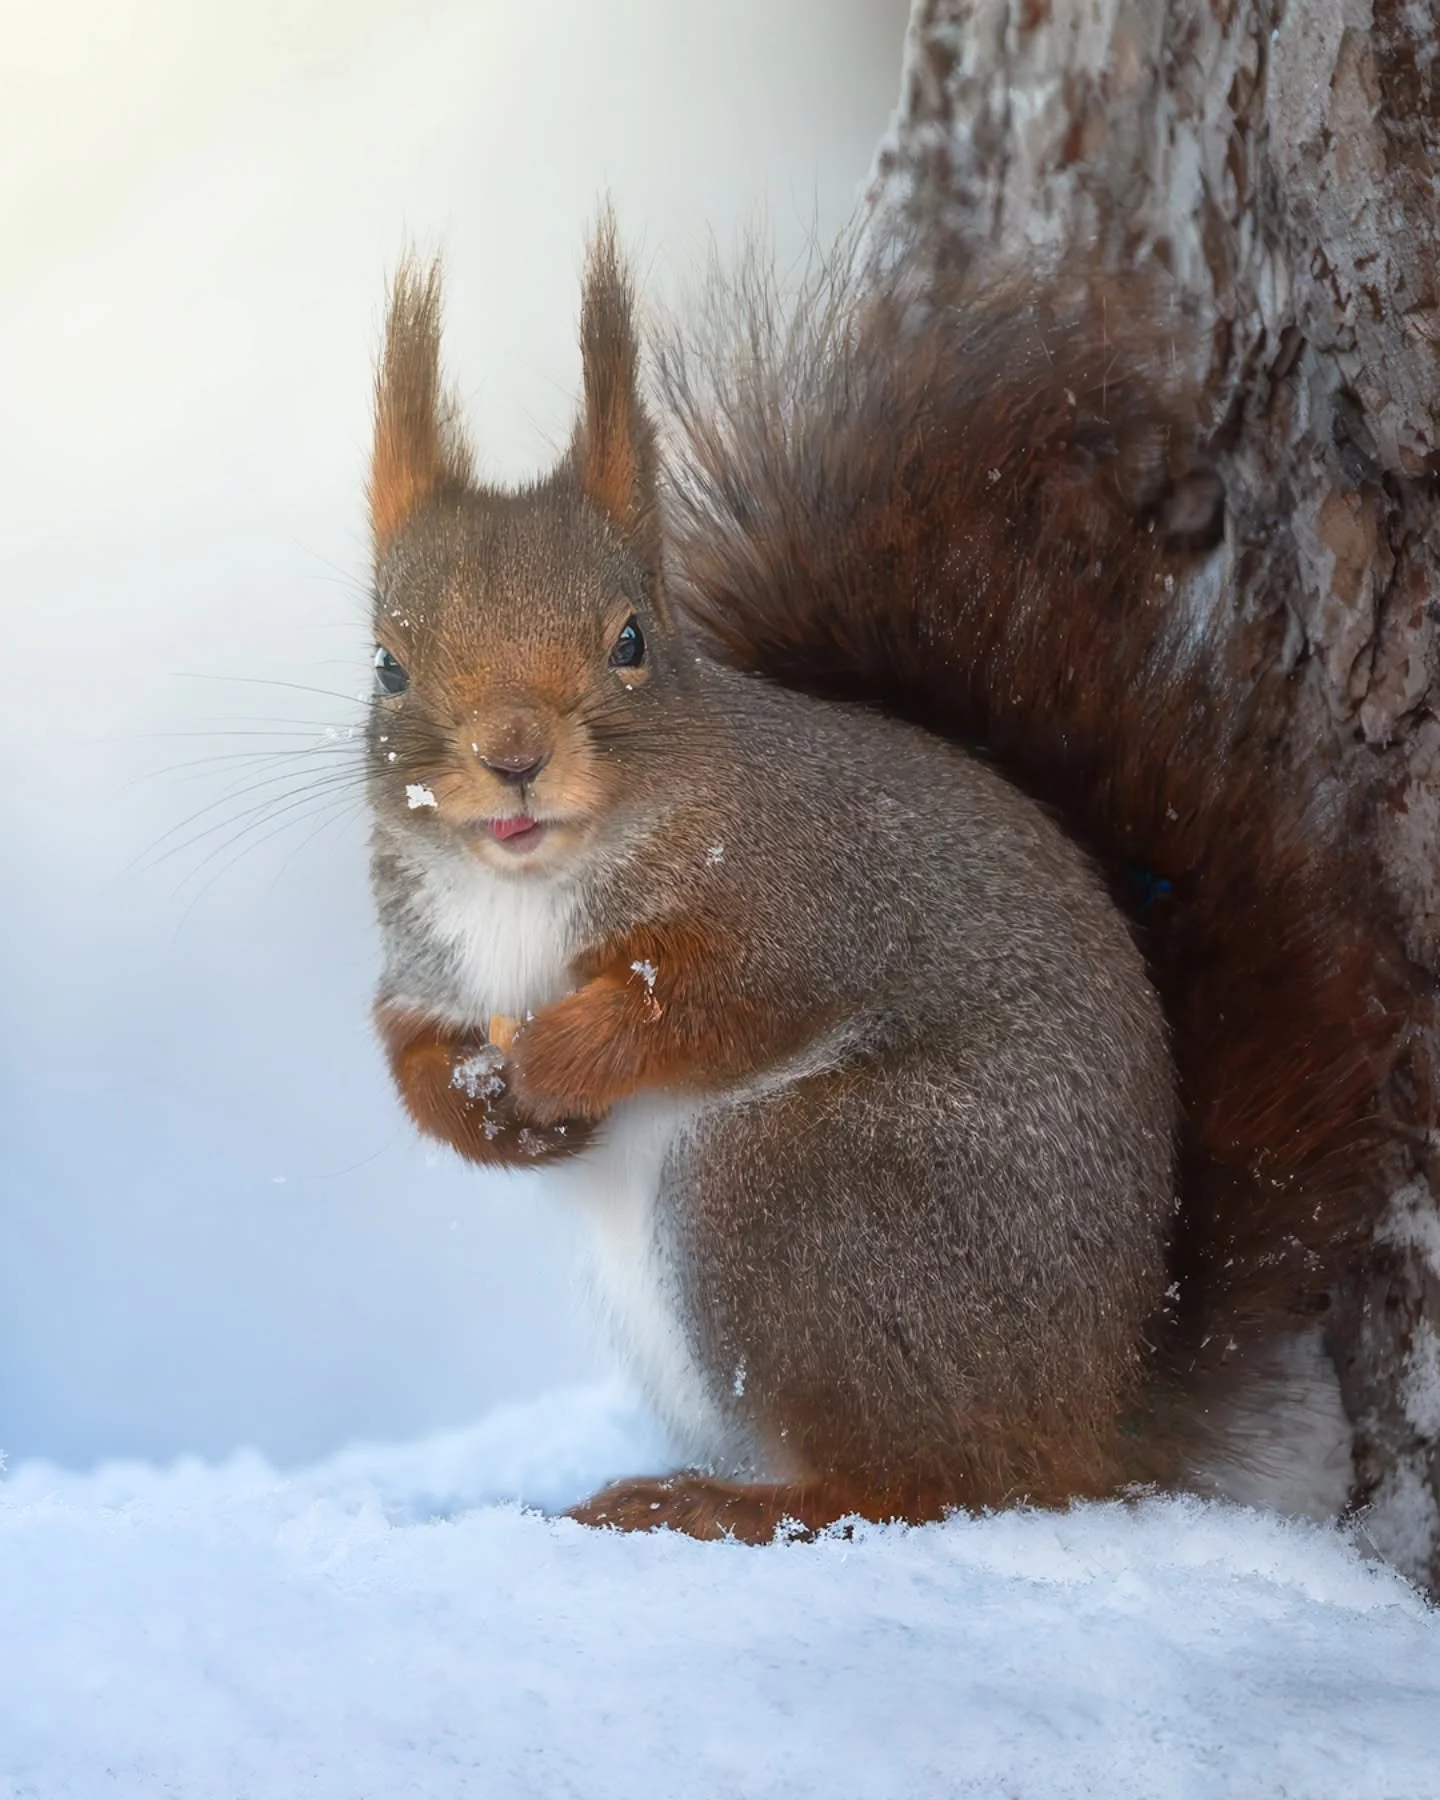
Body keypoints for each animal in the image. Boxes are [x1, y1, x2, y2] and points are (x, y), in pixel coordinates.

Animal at [365, 213, 1402, 1542]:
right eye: (388, 665)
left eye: (633, 639)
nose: (512, 759)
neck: (526, 892)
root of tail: (1086, 1417)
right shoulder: (421, 953)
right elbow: (403, 1045)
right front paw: (485, 1112)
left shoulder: (812, 891)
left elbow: (718, 1005)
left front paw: (557, 1057)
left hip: (804, 1198)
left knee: (924, 1483)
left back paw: (712, 1505)